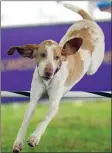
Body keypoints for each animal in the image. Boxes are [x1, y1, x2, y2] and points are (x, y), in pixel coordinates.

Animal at [7, 2, 104, 152]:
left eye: (57, 57)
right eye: (42, 55)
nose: (48, 72)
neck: (48, 81)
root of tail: (88, 21)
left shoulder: (54, 104)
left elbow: (44, 120)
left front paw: (35, 137)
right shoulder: (33, 100)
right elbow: (24, 122)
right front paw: (18, 142)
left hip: (92, 67)